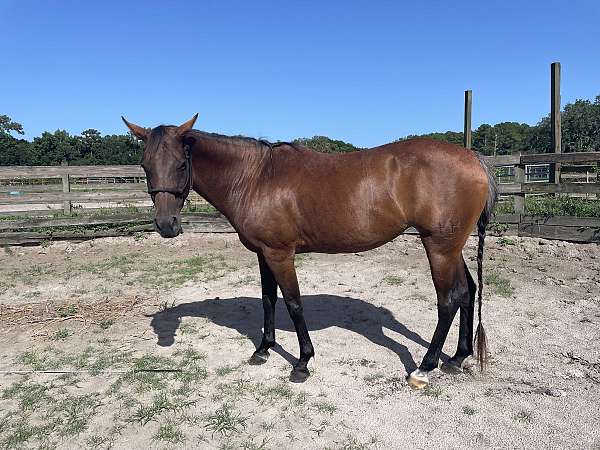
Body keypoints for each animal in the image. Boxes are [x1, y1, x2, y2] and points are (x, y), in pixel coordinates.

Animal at [122, 114, 496, 388]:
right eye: (145, 166)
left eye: (181, 165)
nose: (167, 225)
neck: (255, 178)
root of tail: (473, 159)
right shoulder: (263, 254)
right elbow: (268, 300)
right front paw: (263, 349)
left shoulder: (280, 254)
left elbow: (293, 303)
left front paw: (302, 362)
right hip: (451, 247)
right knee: (467, 291)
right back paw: (457, 358)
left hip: (439, 247)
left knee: (448, 301)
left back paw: (424, 368)